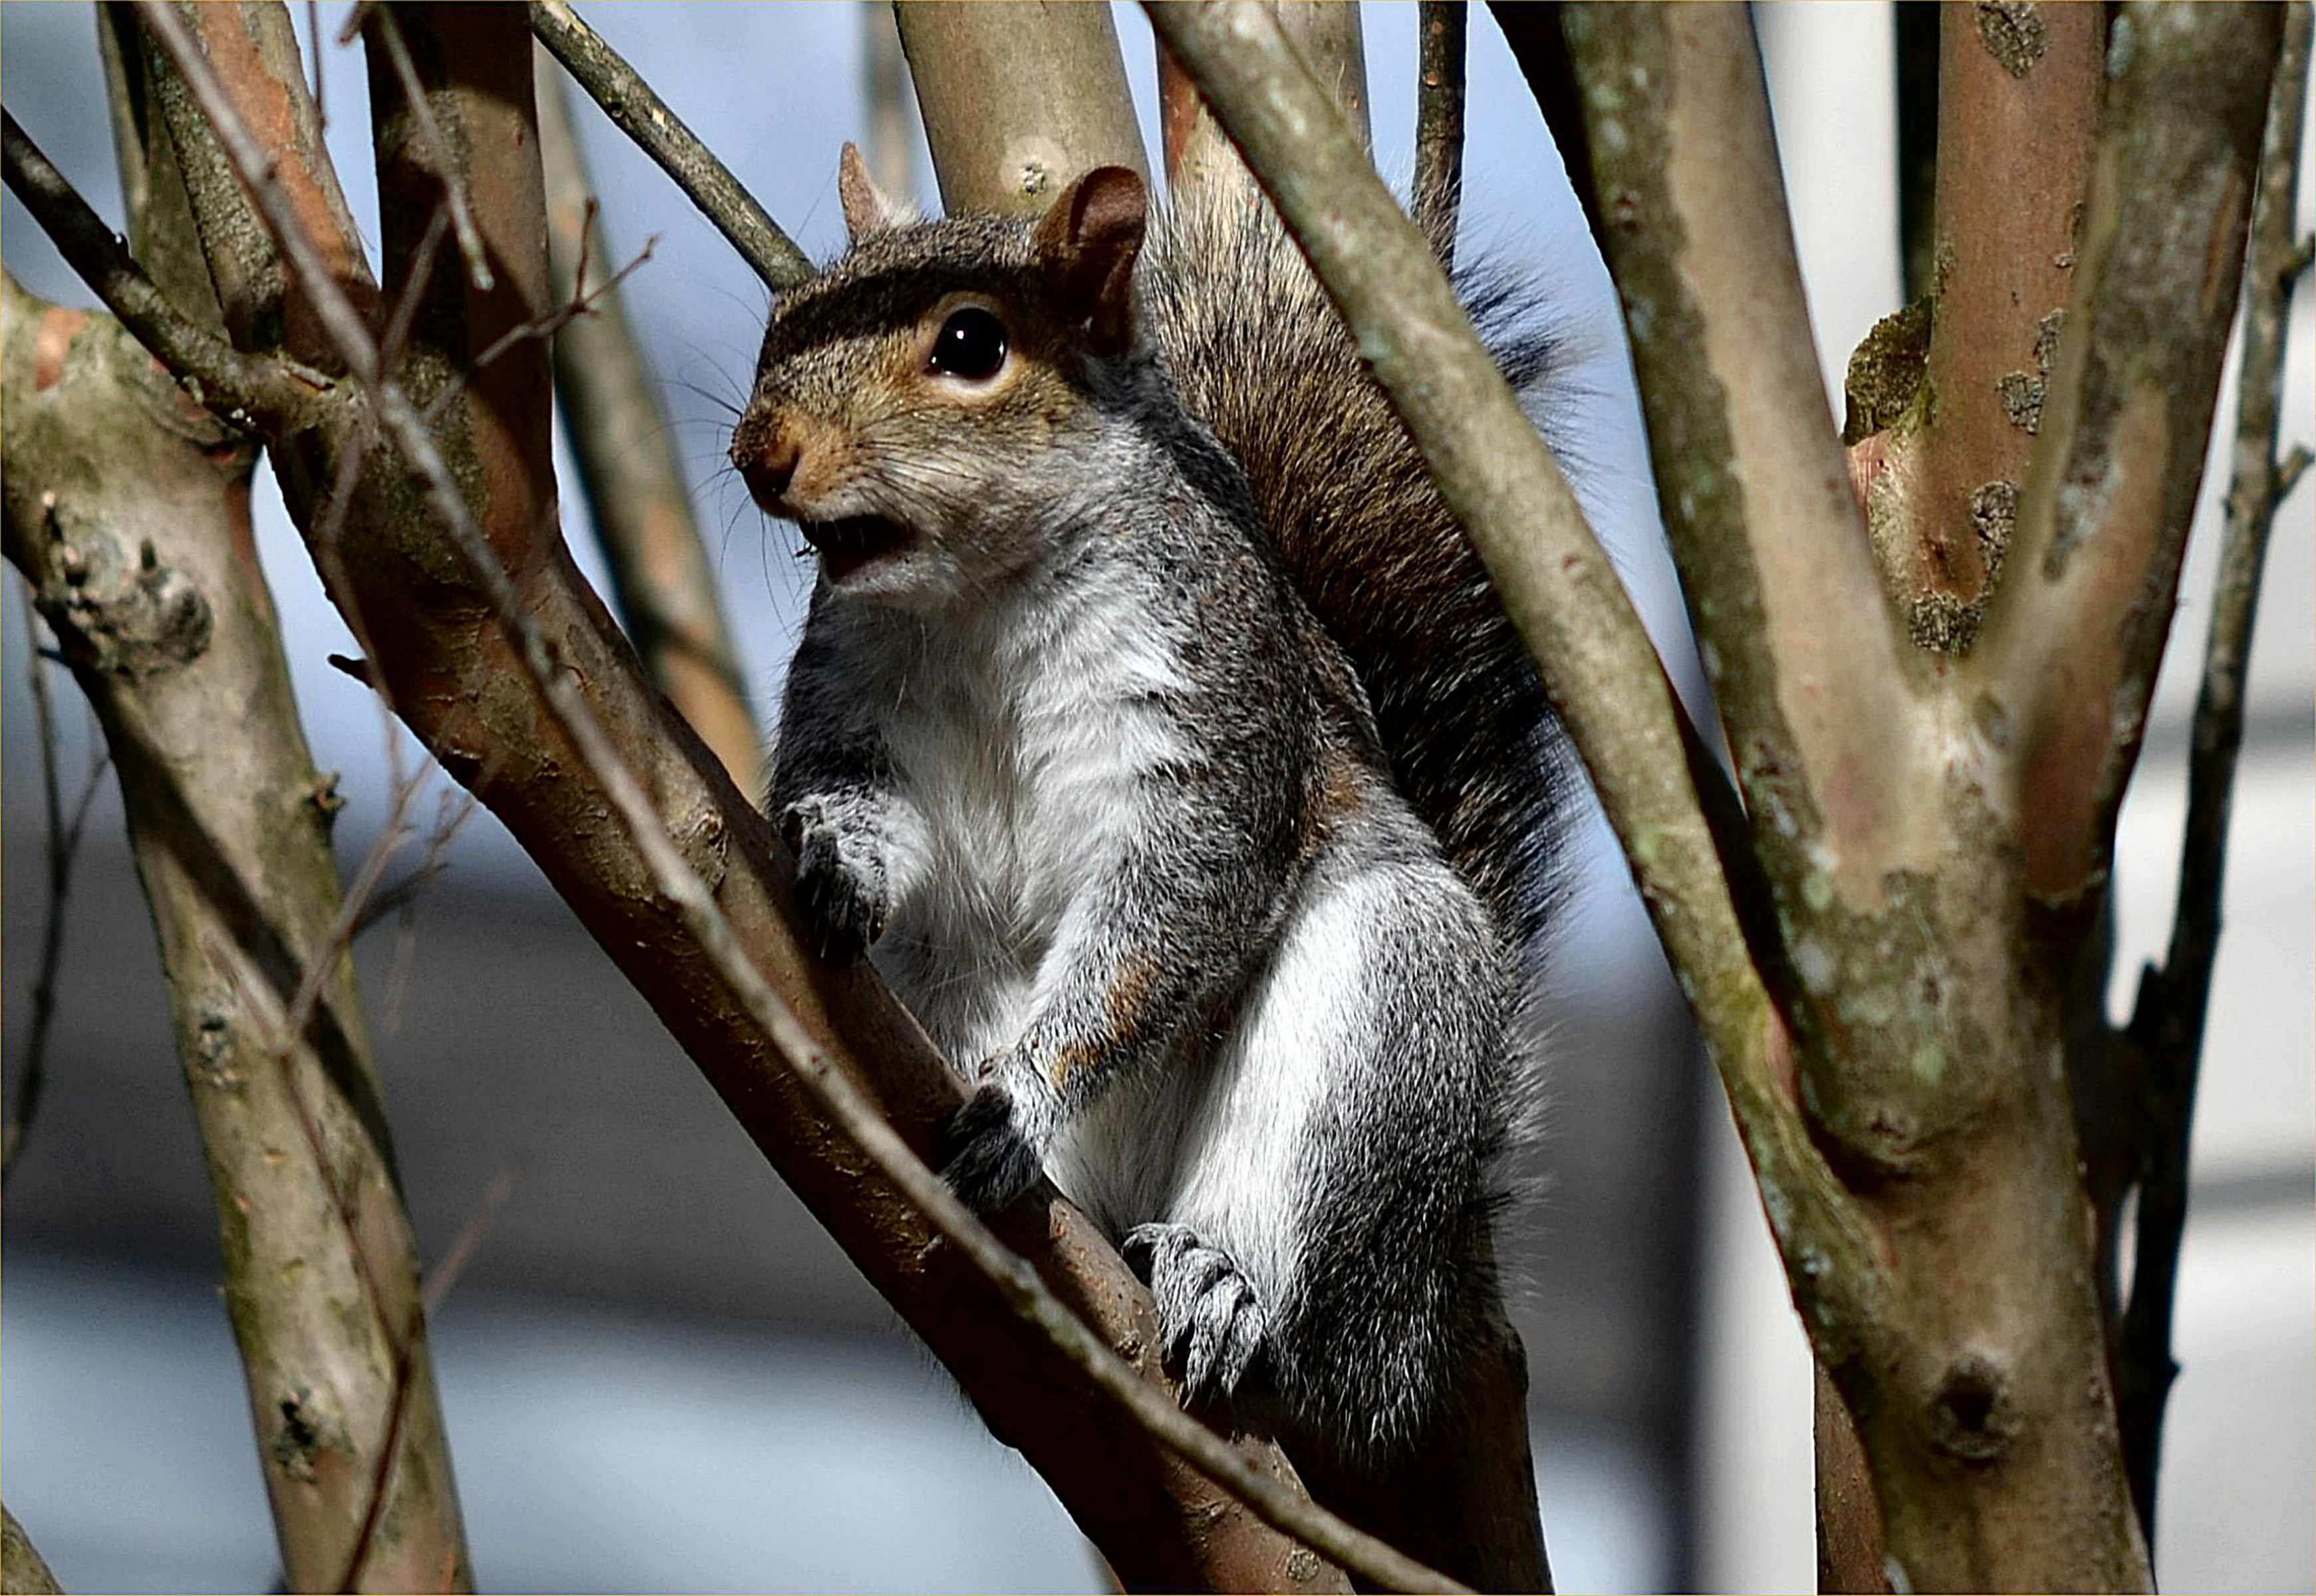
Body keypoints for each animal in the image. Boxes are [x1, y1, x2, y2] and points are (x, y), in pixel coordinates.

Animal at [730, 143, 1575, 1464]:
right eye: (781, 322)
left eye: (970, 344)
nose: (762, 454)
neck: (975, 596)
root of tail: (1416, 1325)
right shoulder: (850, 698)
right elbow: (863, 805)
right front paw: (829, 852)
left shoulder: (1204, 708)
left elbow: (1163, 917)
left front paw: (1022, 1097)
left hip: (1387, 1012)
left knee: (1305, 1303)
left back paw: (1224, 1284)